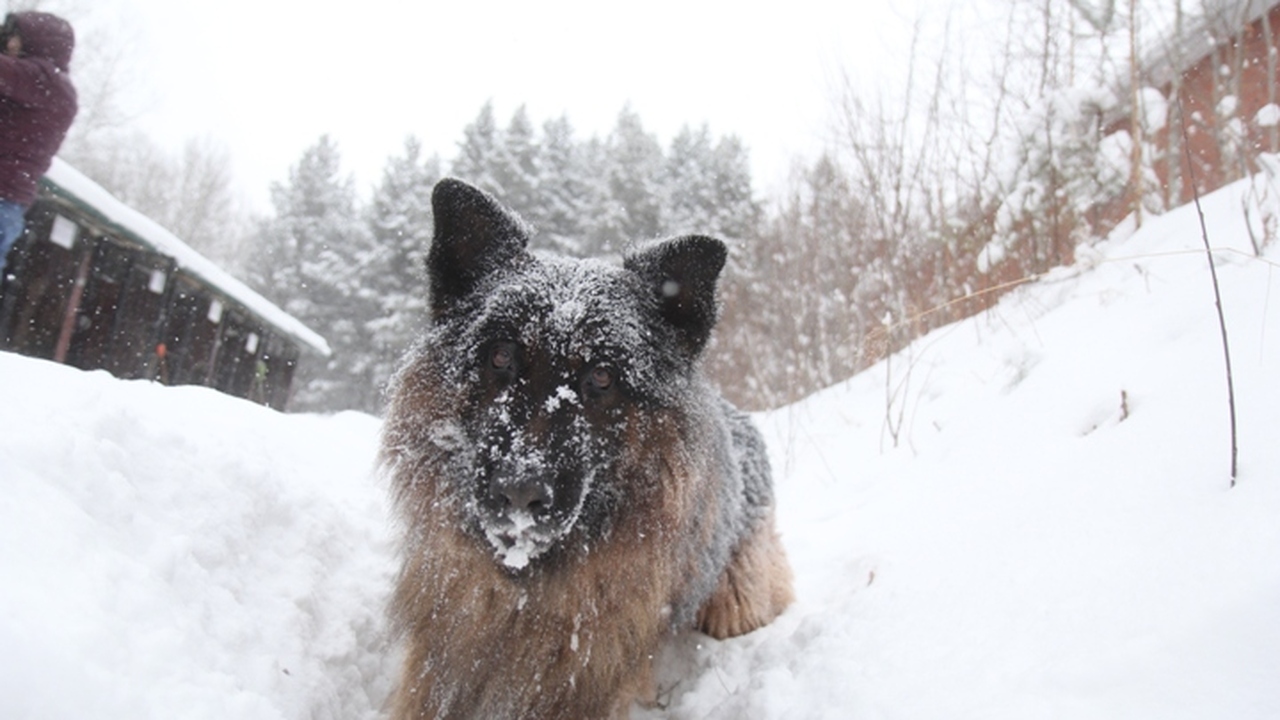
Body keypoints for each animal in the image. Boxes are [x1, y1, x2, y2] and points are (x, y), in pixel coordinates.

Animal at [376, 175, 788, 717]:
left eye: (602, 376)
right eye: (501, 355)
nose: (520, 492)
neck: (525, 590)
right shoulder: (439, 658)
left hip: (737, 596)